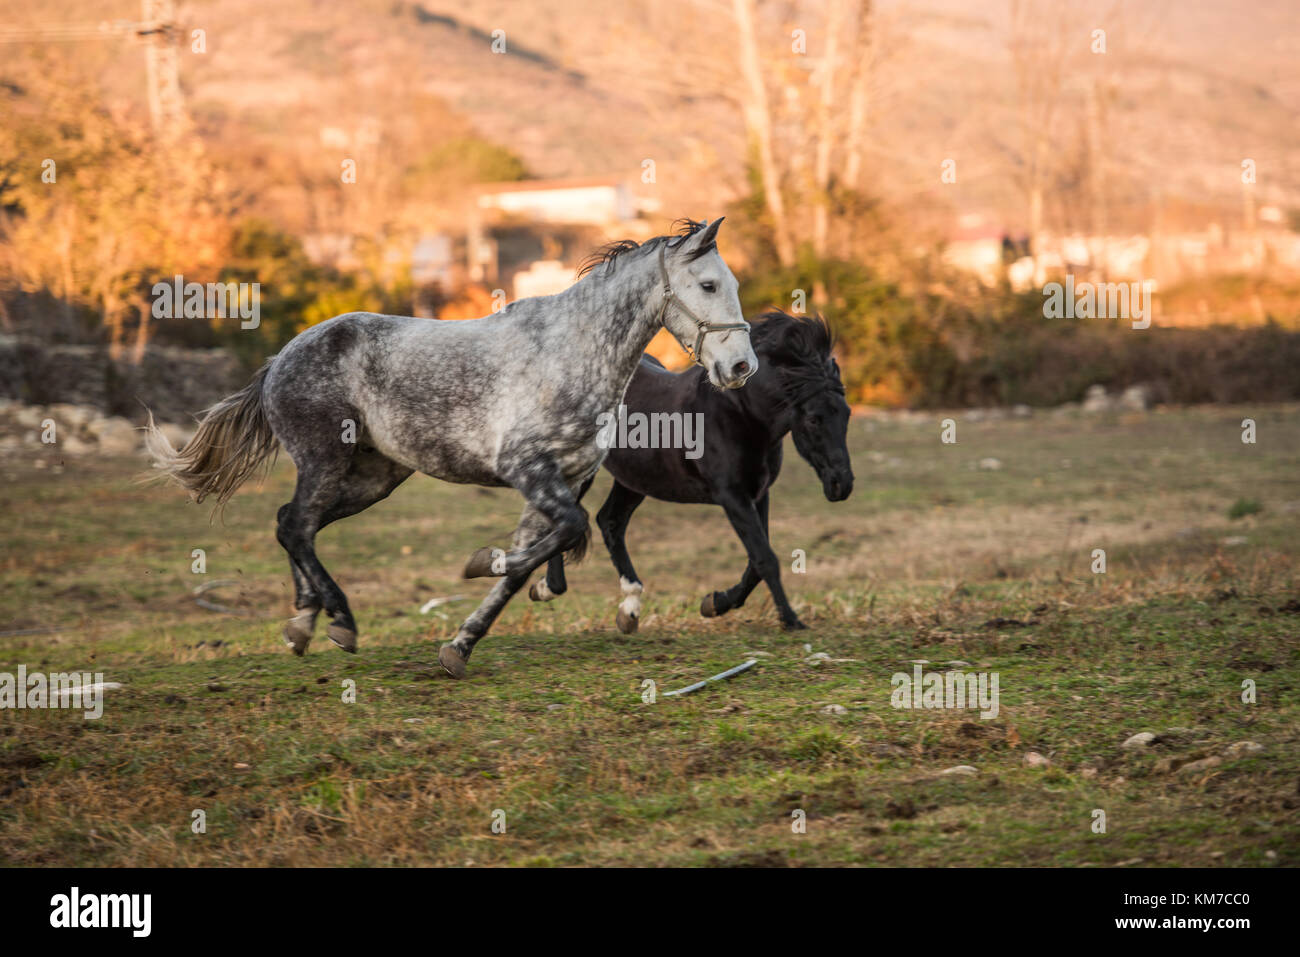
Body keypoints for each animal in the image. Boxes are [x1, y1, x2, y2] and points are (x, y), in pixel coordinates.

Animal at [144, 217, 758, 679]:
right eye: (708, 285)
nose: (740, 368)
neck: (572, 352)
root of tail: (280, 359)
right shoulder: (528, 470)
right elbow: (564, 535)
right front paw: (481, 565)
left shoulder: (561, 481)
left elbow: (529, 565)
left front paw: (462, 644)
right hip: (325, 461)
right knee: (295, 525)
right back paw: (339, 621)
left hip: (374, 479)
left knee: (292, 523)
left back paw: (303, 624)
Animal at [533, 310, 854, 633]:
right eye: (814, 419)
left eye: (847, 413)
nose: (842, 484)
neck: (741, 413)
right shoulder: (732, 496)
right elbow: (765, 558)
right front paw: (790, 619)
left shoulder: (759, 493)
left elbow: (755, 563)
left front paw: (715, 603)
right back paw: (548, 588)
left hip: (635, 480)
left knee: (610, 521)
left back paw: (629, 610)